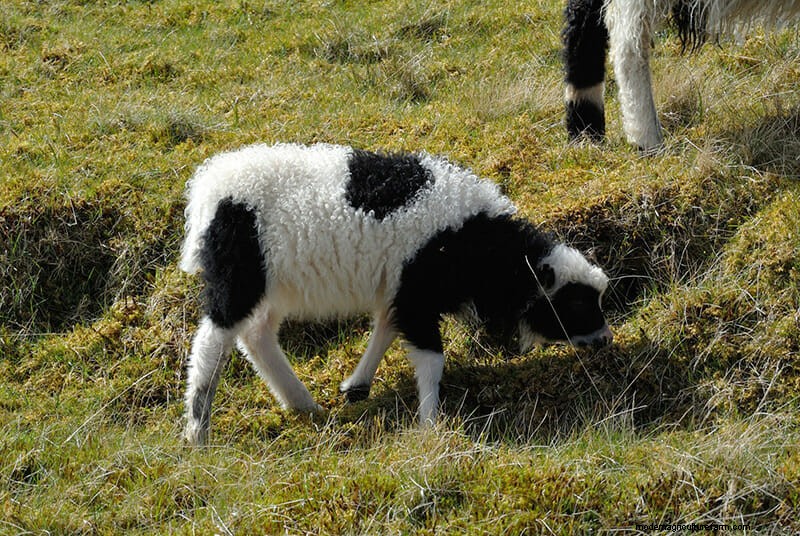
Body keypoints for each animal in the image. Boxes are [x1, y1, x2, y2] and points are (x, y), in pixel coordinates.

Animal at [180, 143, 613, 445]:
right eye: (576, 304)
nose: (607, 340)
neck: (481, 246)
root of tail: (208, 188)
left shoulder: (401, 291)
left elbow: (386, 328)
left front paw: (357, 386)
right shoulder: (417, 290)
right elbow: (431, 359)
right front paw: (431, 422)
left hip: (273, 284)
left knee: (256, 335)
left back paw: (300, 402)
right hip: (238, 277)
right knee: (212, 342)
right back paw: (198, 428)